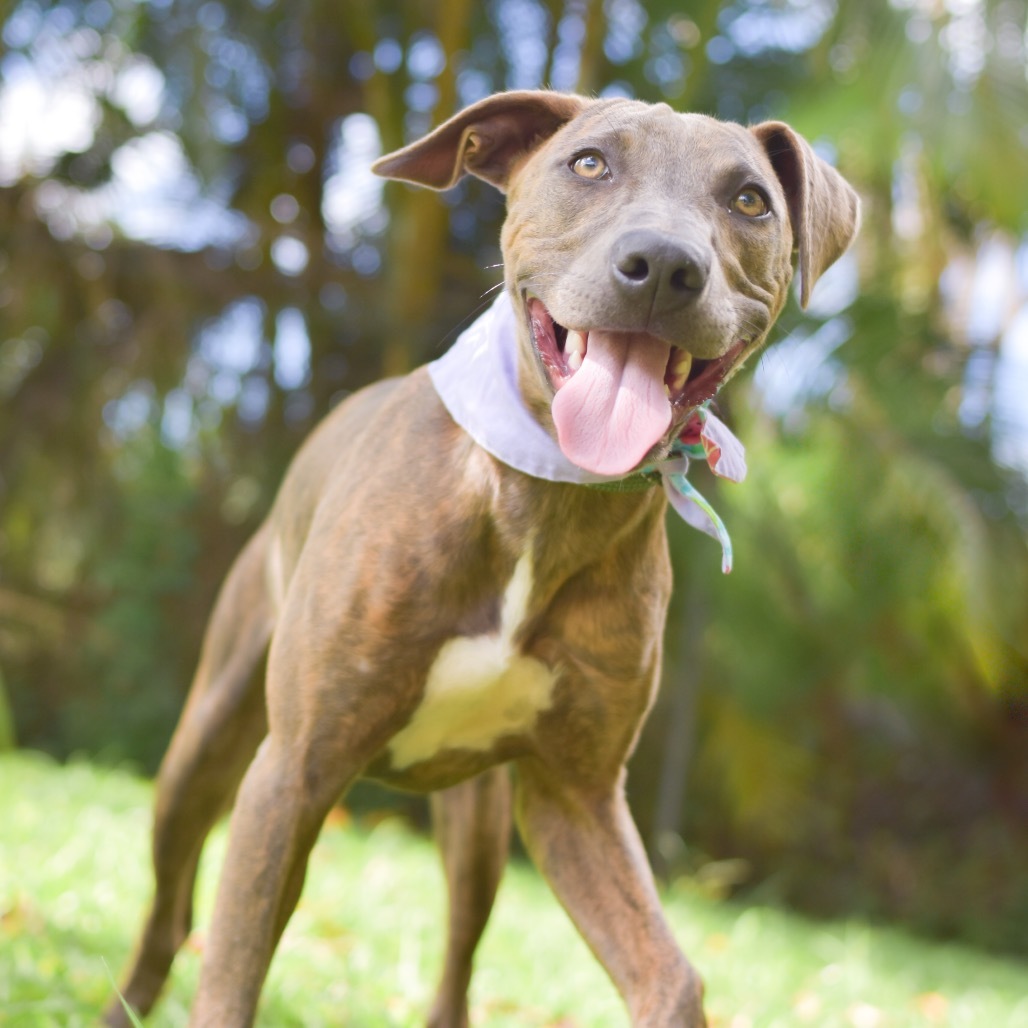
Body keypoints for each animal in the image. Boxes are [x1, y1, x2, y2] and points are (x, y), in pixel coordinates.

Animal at [106, 92, 859, 1023]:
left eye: (750, 200)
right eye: (589, 163)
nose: (663, 265)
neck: (544, 496)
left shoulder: (575, 798)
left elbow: (671, 975)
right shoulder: (293, 772)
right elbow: (234, 972)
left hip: (481, 830)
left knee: (458, 958)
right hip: (205, 745)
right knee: (172, 906)